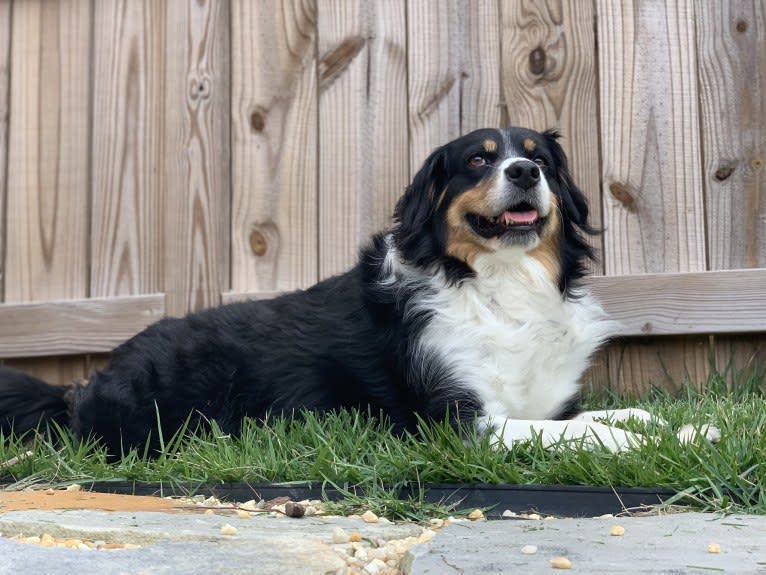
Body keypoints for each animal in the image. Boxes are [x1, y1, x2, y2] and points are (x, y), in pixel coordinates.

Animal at [0, 128, 720, 456]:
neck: (495, 283)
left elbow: (618, 416)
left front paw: (690, 424)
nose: (525, 171)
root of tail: (84, 385)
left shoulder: (542, 401)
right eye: (478, 159)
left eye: (539, 156)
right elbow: (592, 435)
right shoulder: (458, 423)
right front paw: (674, 436)